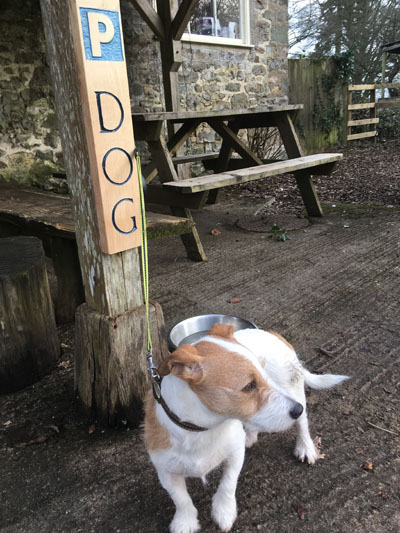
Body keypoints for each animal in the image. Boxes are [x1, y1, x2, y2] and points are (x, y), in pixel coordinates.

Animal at [144, 324, 346, 532]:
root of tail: (271, 334)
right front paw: (185, 521)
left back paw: (305, 447)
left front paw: (224, 512)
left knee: (302, 424)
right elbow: (181, 499)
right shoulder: (165, 471)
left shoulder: (235, 453)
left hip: (294, 390)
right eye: (249, 386)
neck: (201, 430)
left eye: (263, 376)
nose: (296, 409)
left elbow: (228, 484)